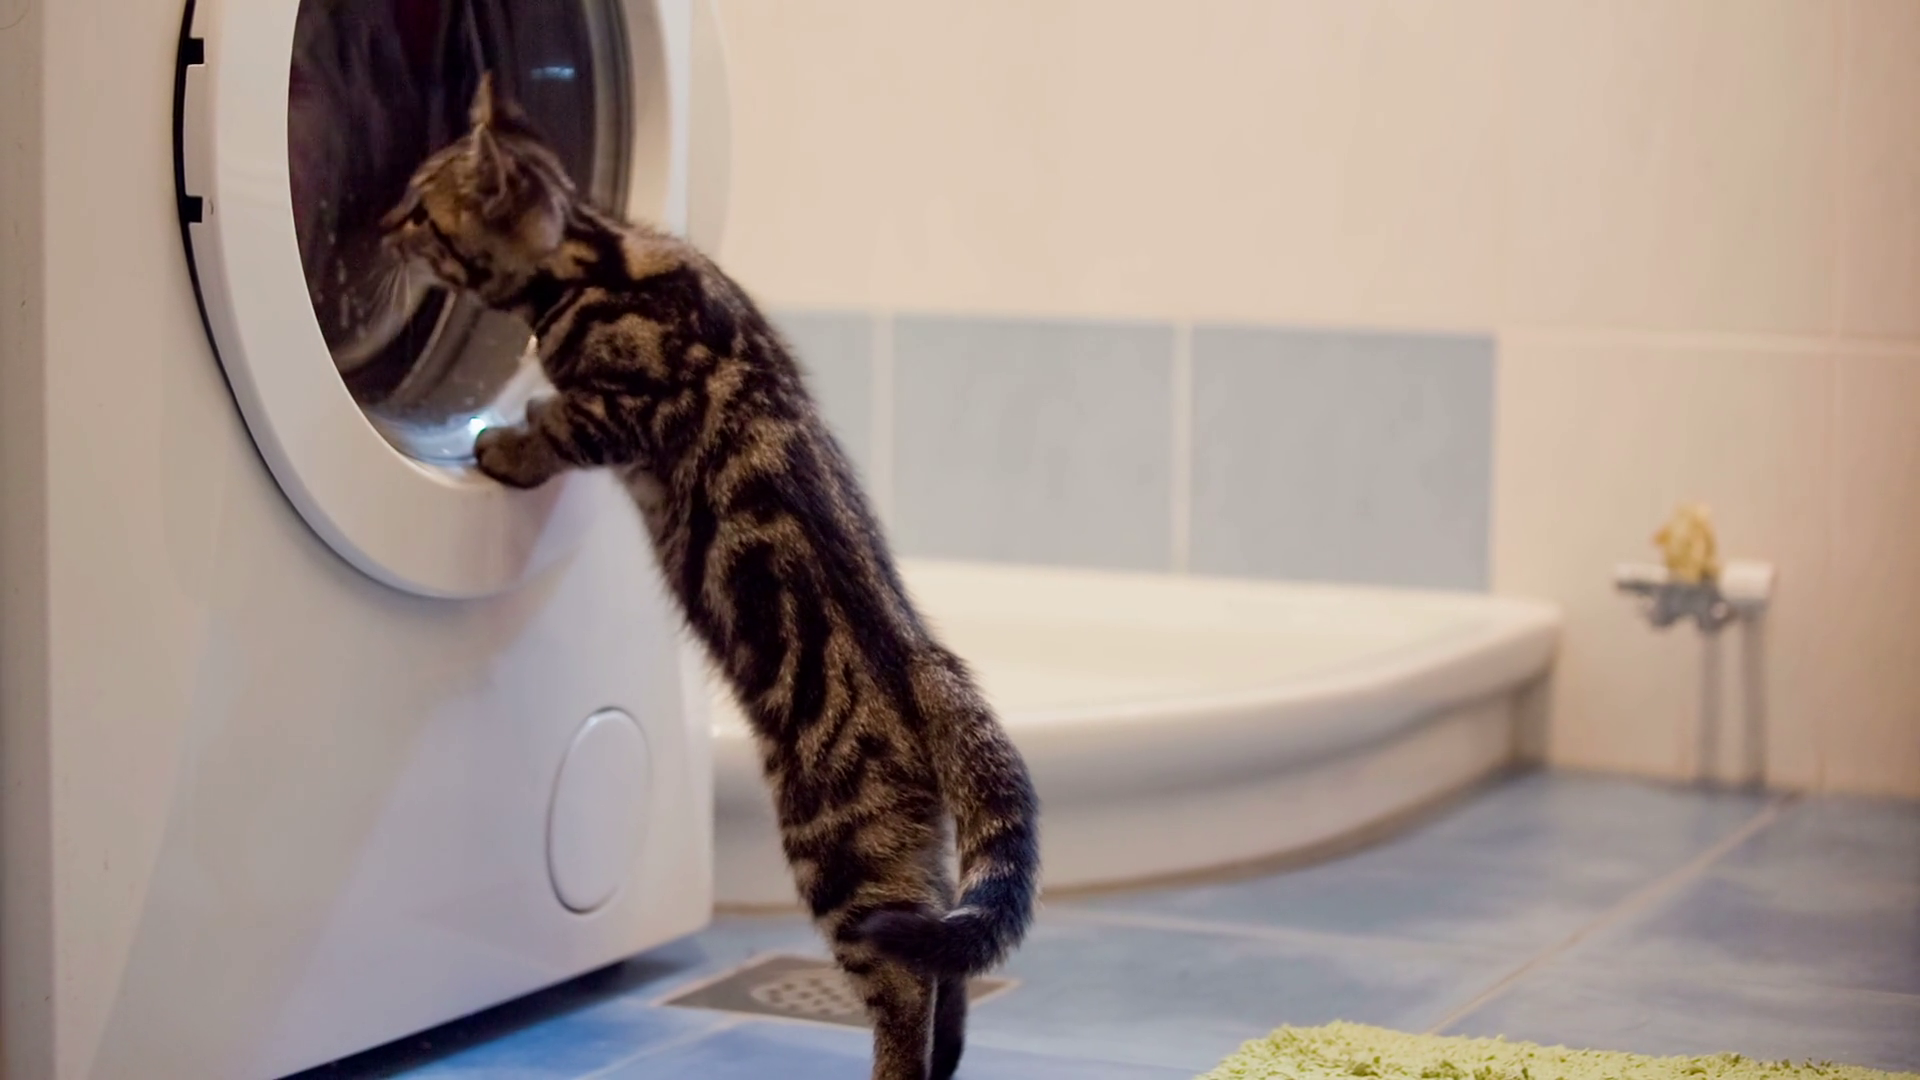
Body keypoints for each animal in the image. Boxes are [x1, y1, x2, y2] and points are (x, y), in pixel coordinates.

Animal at [378, 74, 1040, 1080]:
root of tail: (927, 661)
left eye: (421, 210)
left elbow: (559, 421)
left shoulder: (622, 410)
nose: (379, 224)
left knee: (903, 980)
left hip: (838, 851)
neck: (600, 257)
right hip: (909, 855)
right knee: (945, 961)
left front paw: (509, 442)